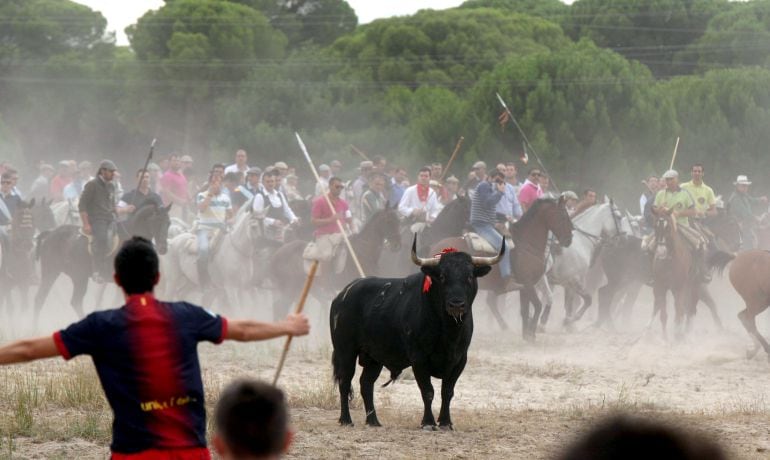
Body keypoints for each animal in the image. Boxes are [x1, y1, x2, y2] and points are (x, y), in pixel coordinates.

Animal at [33, 201, 170, 324]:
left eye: (168, 223)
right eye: (157, 221)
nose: (163, 248)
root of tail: (51, 233)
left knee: (43, 300)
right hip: (65, 274)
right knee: (68, 301)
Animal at [268, 207, 402, 322]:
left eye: (399, 220)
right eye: (389, 221)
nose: (396, 245)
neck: (363, 250)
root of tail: (276, 255)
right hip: (290, 288)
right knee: (279, 308)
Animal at [328, 237, 500, 432]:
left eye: (469, 276)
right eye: (442, 276)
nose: (456, 304)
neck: (447, 332)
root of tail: (342, 295)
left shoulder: (460, 360)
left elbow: (447, 392)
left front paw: (446, 422)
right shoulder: (419, 359)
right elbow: (428, 391)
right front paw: (428, 422)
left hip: (373, 358)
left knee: (366, 384)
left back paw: (373, 421)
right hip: (345, 352)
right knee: (344, 382)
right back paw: (346, 419)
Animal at [428, 196, 572, 344]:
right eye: (563, 216)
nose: (569, 239)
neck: (526, 244)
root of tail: (435, 247)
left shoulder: (524, 287)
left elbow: (525, 310)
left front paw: (526, 334)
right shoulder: (528, 283)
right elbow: (537, 305)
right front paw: (532, 333)